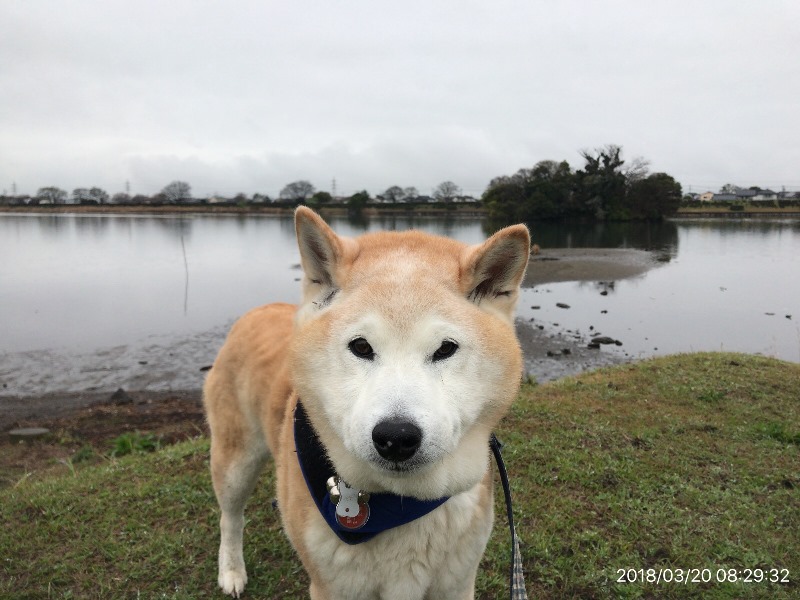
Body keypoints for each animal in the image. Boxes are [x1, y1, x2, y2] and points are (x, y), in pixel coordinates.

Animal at [203, 206, 530, 599]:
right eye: (361, 346)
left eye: (445, 349)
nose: (396, 437)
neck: (401, 505)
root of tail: (260, 309)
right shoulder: (332, 588)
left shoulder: (457, 584)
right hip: (236, 461)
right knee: (230, 517)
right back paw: (231, 570)